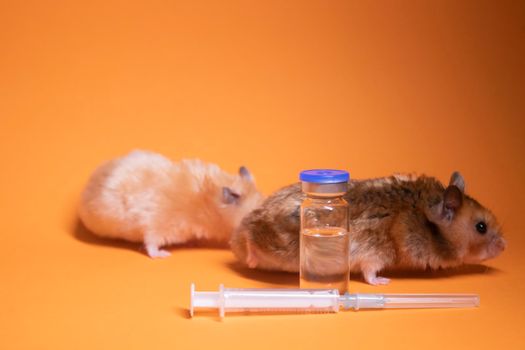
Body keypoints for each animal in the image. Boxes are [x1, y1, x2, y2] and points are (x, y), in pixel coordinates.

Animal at [231, 172, 506, 284]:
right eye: (481, 227)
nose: (505, 246)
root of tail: (234, 243)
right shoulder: (376, 251)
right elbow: (370, 272)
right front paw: (384, 282)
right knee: (251, 237)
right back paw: (252, 258)